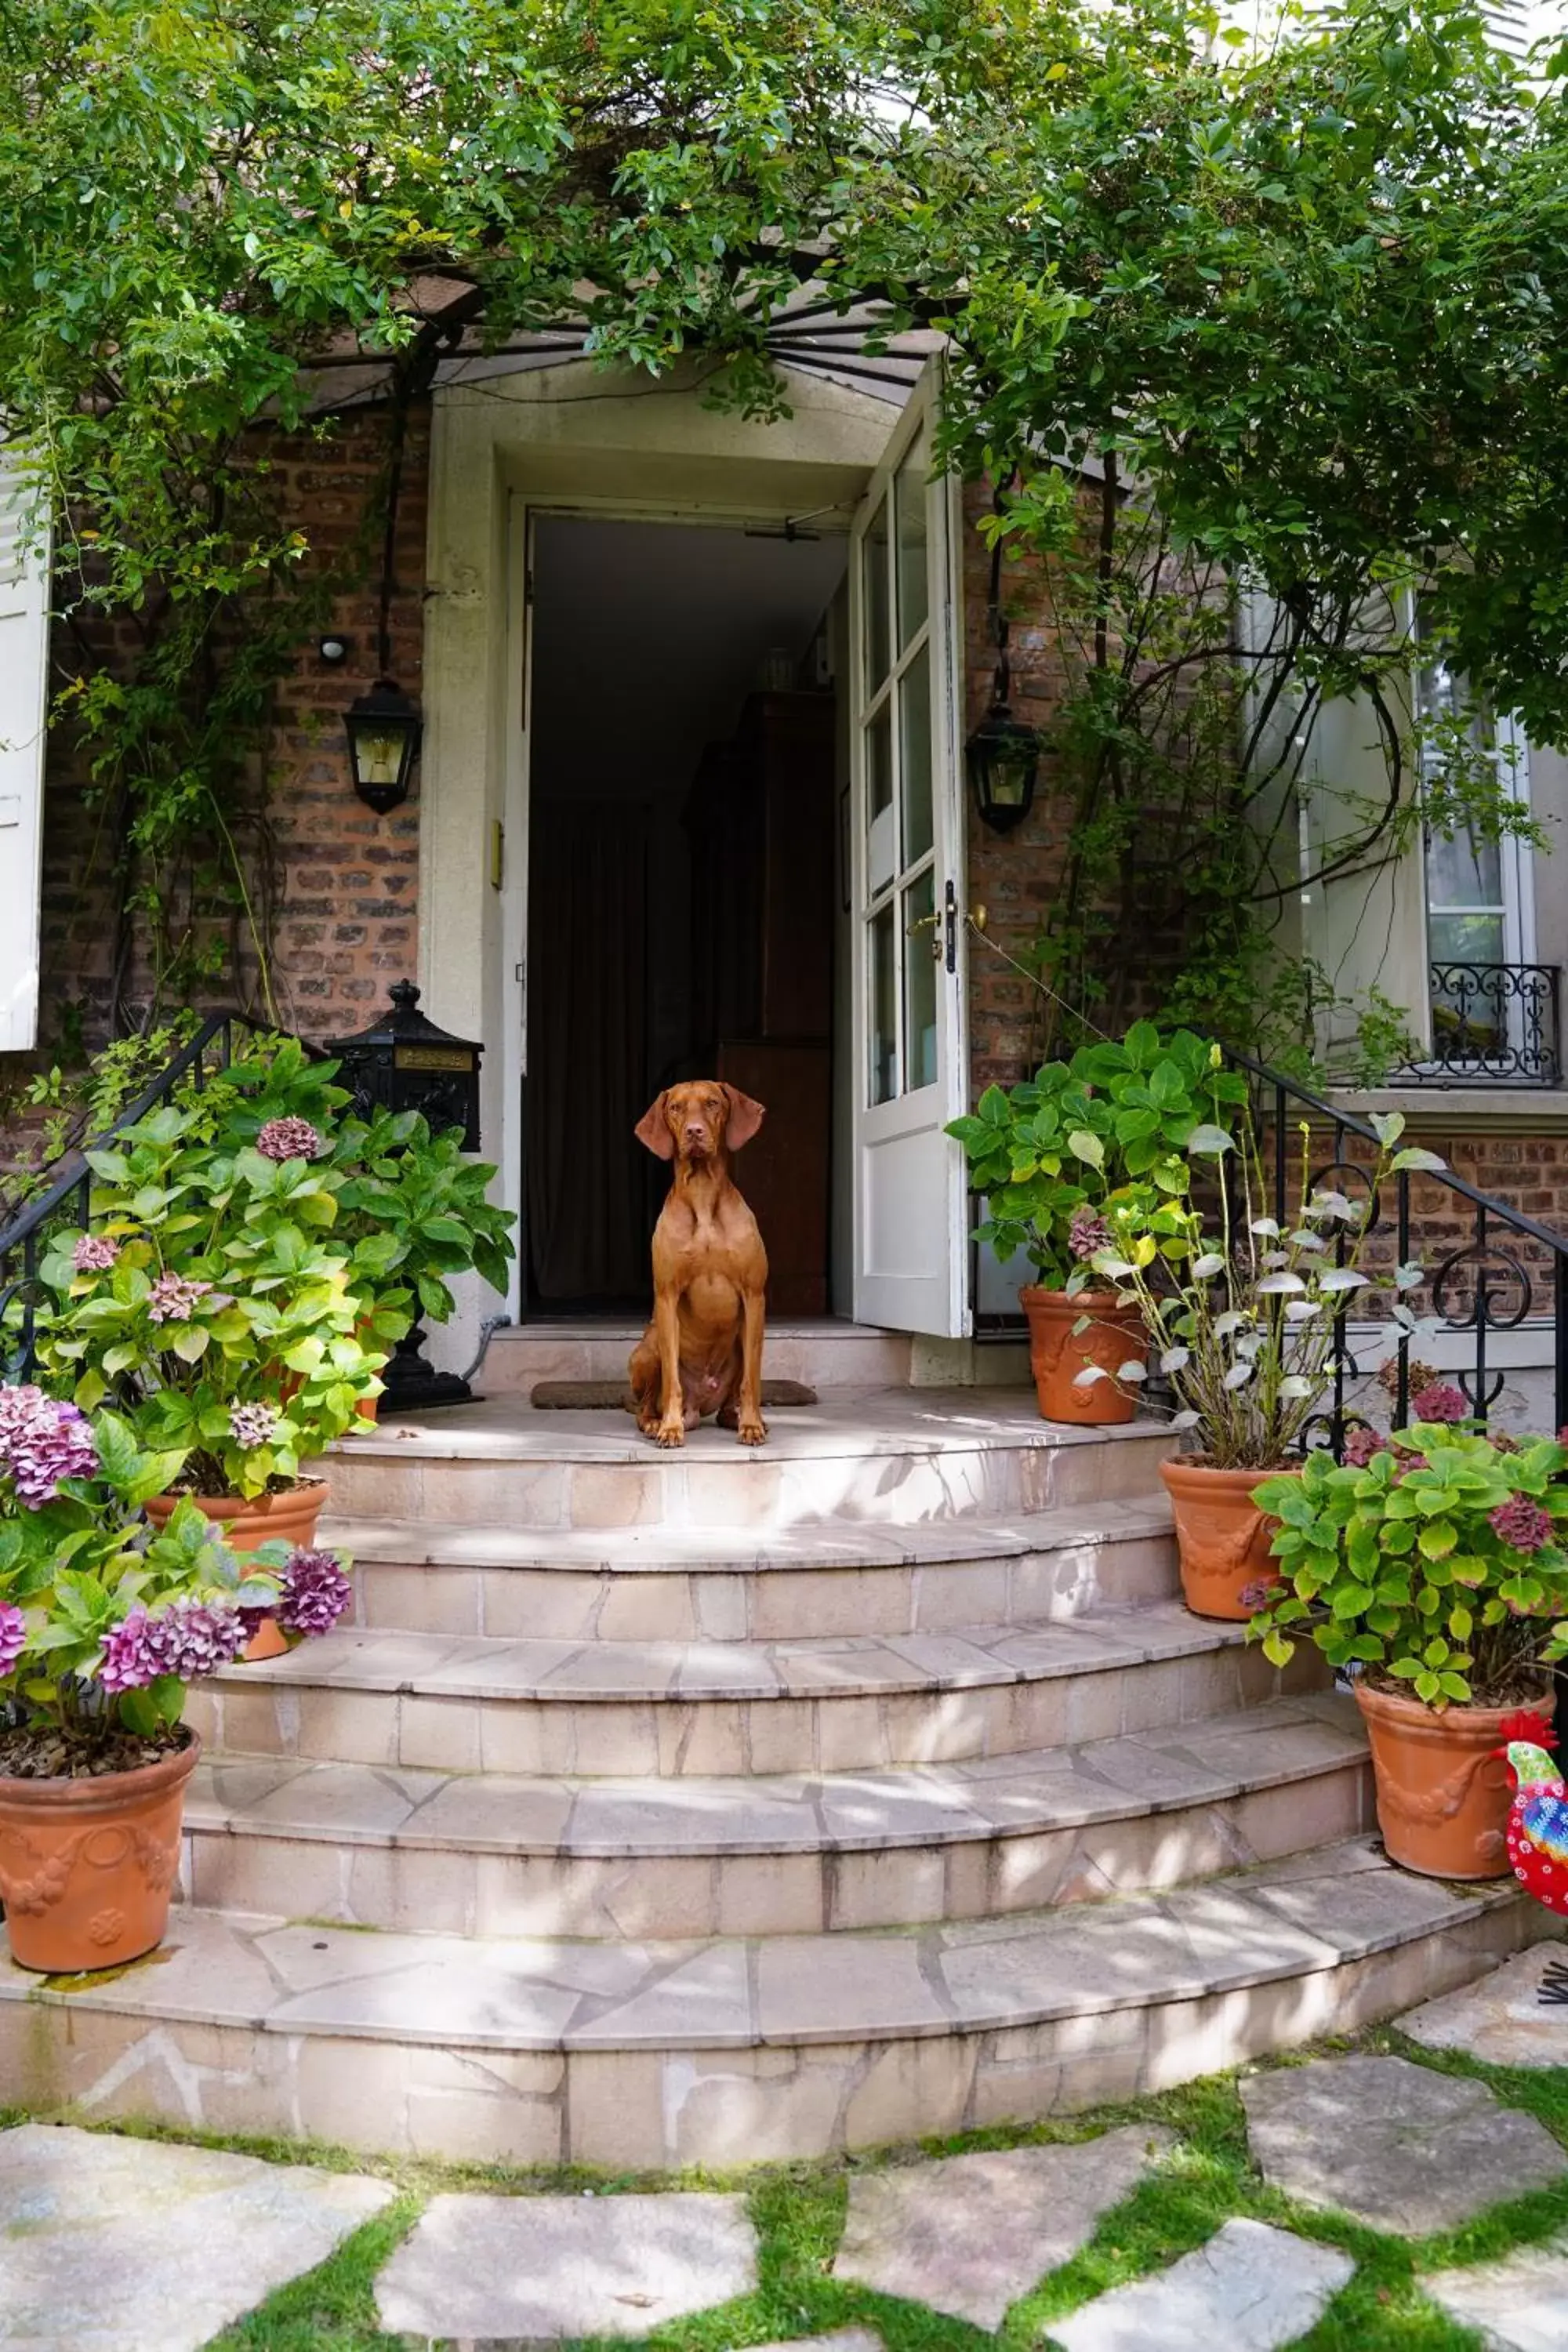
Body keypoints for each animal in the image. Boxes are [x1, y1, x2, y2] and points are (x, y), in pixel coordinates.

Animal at [630, 1087, 771, 1449]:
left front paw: (752, 1425)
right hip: (646, 1349)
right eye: (676, 1108)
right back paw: (655, 1422)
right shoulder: (666, 1296)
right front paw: (670, 1428)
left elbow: (753, 1379)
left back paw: (739, 1418)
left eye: (712, 1103)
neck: (703, 1193)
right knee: (644, 1404)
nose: (694, 1132)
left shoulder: (754, 1296)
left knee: (728, 1405)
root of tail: (700, 1406)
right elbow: (671, 1383)